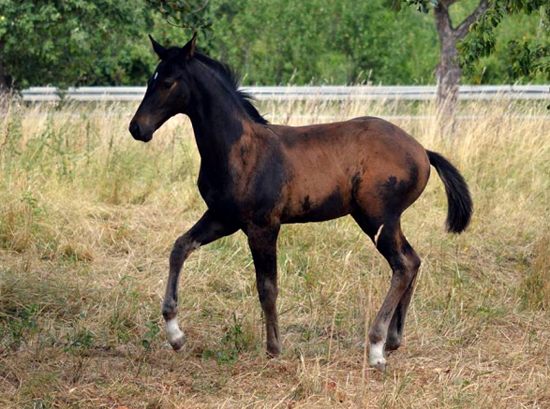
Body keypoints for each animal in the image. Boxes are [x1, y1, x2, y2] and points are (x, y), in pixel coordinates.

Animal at [130, 33, 474, 368]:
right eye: (150, 79)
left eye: (167, 82)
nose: (137, 128)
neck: (239, 151)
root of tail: (422, 151)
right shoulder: (222, 217)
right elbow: (180, 247)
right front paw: (175, 334)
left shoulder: (263, 226)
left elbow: (267, 287)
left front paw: (274, 349)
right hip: (382, 219)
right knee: (412, 260)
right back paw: (393, 339)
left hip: (378, 217)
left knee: (402, 264)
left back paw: (376, 347)